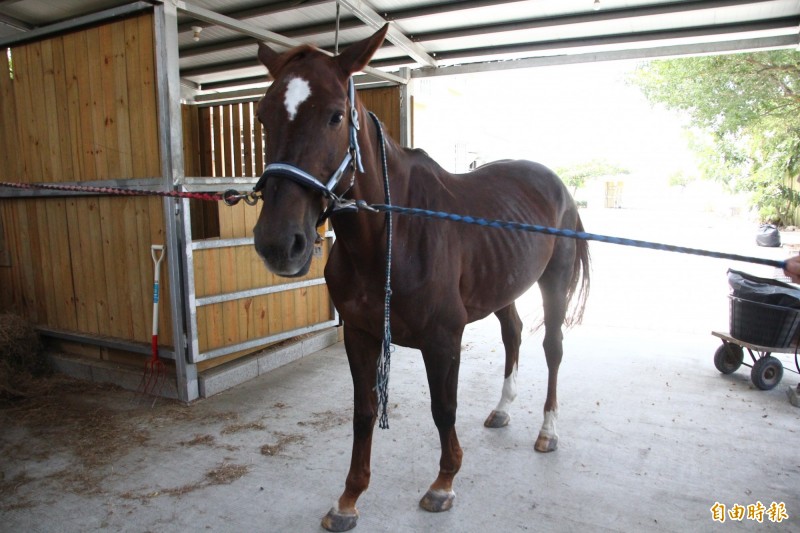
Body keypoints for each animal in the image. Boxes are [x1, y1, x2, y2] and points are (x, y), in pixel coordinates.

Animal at [253, 26, 592, 532]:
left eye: (336, 116)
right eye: (263, 116)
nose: (278, 242)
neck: (391, 235)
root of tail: (559, 186)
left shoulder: (442, 339)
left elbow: (442, 408)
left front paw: (443, 484)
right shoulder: (360, 335)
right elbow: (364, 412)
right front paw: (349, 499)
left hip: (554, 283)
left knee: (553, 348)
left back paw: (548, 431)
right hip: (502, 289)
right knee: (513, 334)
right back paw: (501, 409)